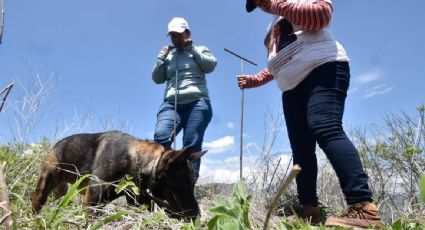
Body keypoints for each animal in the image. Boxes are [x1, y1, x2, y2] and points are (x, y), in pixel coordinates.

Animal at [31, 131, 205, 219]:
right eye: (184, 184)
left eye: (193, 183)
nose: (197, 215)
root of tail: (56, 145)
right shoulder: (92, 201)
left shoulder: (139, 202)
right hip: (44, 186)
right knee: (37, 202)